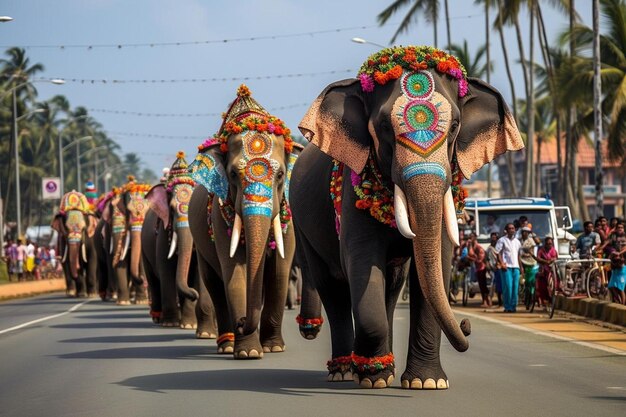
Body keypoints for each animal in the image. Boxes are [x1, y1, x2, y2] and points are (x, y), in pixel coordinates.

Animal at [186, 84, 302, 358]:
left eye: (281, 175)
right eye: (232, 175)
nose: (241, 322)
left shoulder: (289, 216)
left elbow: (279, 271)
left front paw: (273, 348)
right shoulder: (218, 217)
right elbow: (234, 272)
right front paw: (248, 353)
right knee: (214, 284)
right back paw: (226, 344)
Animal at [290, 47, 524, 388]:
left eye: (455, 125)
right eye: (384, 126)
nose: (466, 324)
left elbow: (435, 263)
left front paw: (426, 383)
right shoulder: (351, 191)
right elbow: (361, 263)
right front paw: (372, 378)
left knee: (392, 285)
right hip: (303, 225)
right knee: (331, 284)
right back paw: (346, 371)